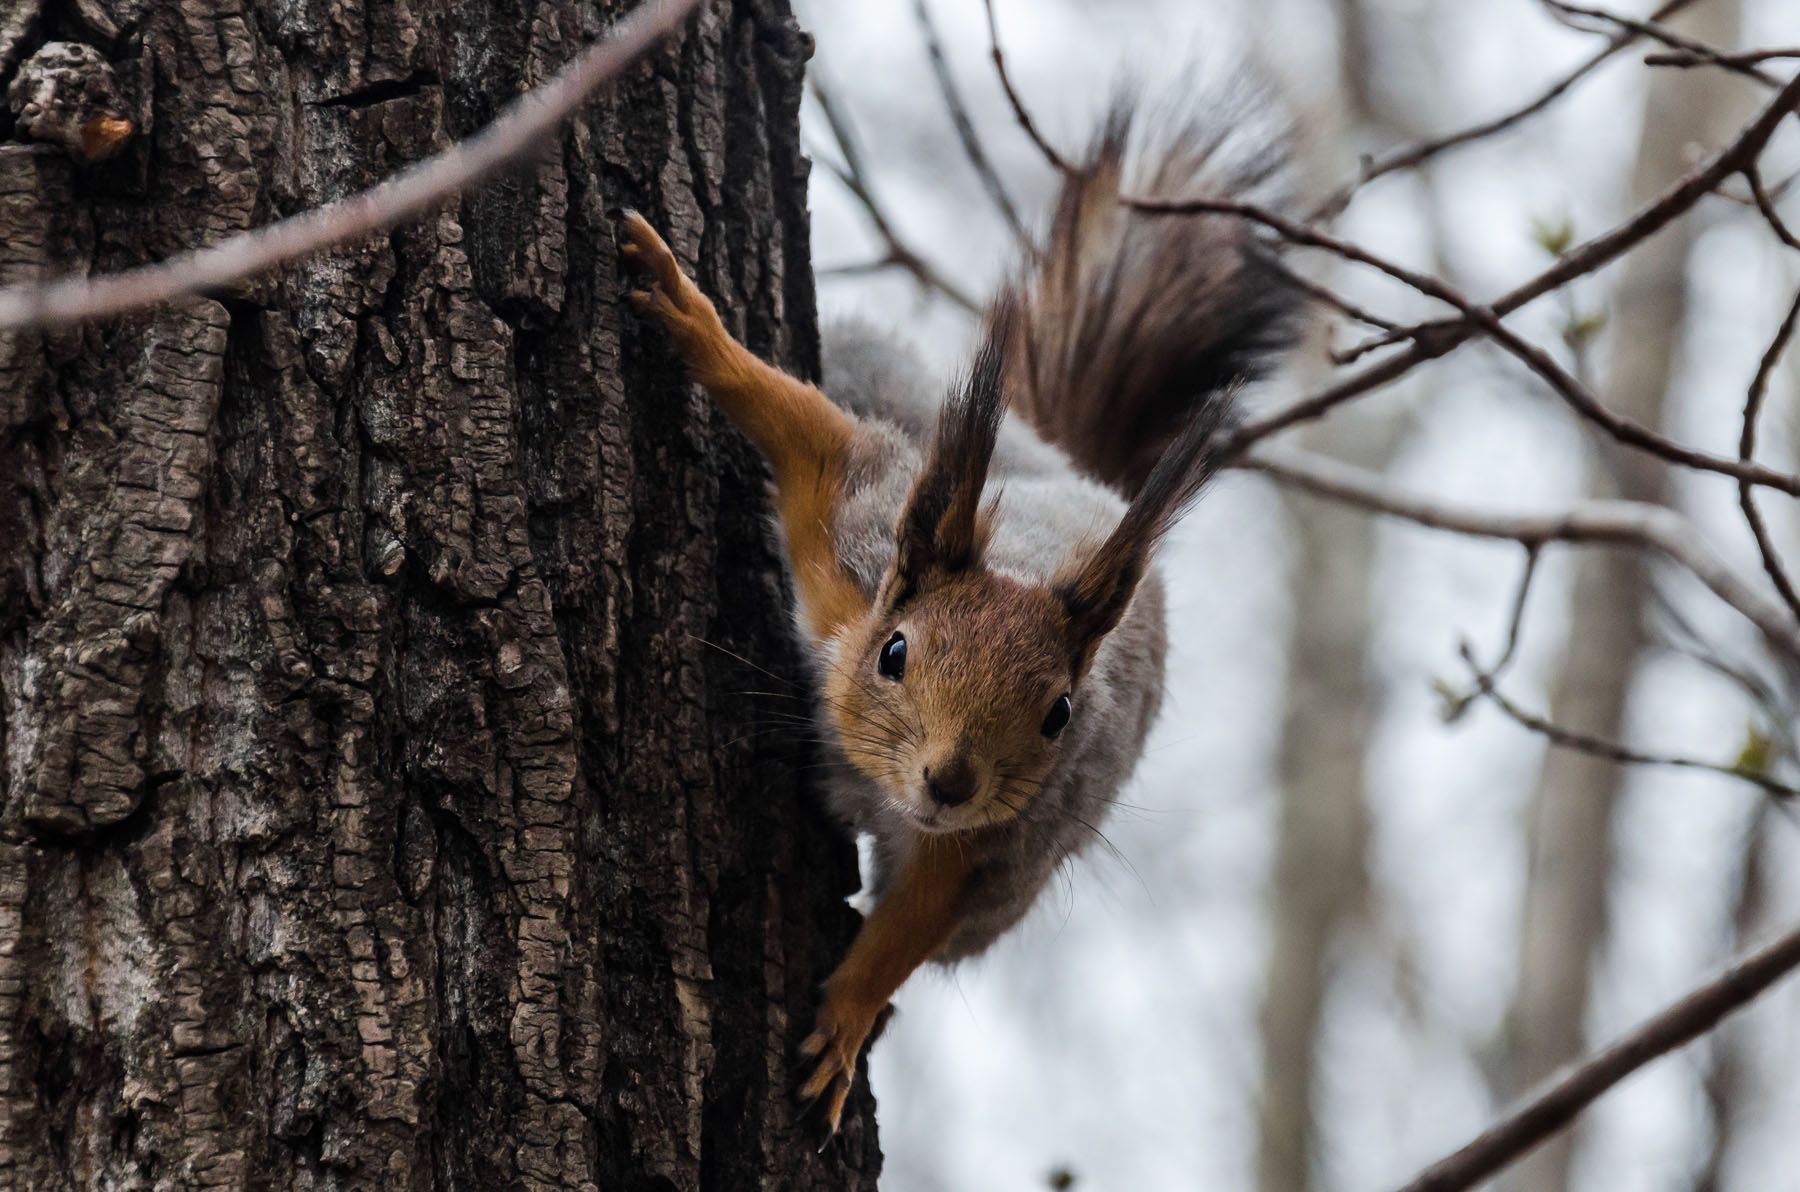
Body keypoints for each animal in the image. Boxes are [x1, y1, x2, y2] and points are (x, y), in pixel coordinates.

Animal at [619, 93, 1296, 1137]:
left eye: (1060, 714)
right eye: (894, 653)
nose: (949, 780)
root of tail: (1072, 471)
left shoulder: (985, 839)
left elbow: (913, 922)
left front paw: (849, 1020)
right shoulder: (852, 539)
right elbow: (802, 427)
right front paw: (688, 314)